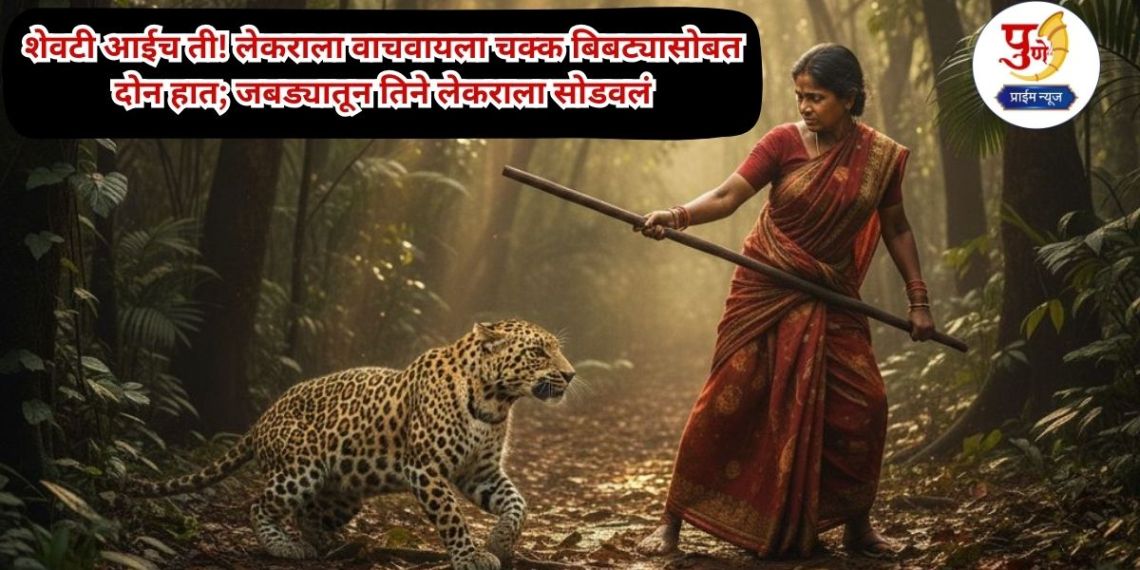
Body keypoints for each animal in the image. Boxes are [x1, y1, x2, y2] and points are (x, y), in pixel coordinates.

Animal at [129, 319, 575, 570]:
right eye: (538, 351)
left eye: (557, 349)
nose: (570, 374)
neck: (497, 399)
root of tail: (260, 421)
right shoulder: (425, 468)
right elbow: (451, 516)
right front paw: (469, 557)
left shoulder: (481, 473)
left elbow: (518, 504)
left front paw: (500, 542)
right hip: (301, 468)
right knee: (259, 505)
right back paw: (283, 547)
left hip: (345, 492)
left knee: (307, 514)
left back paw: (331, 544)